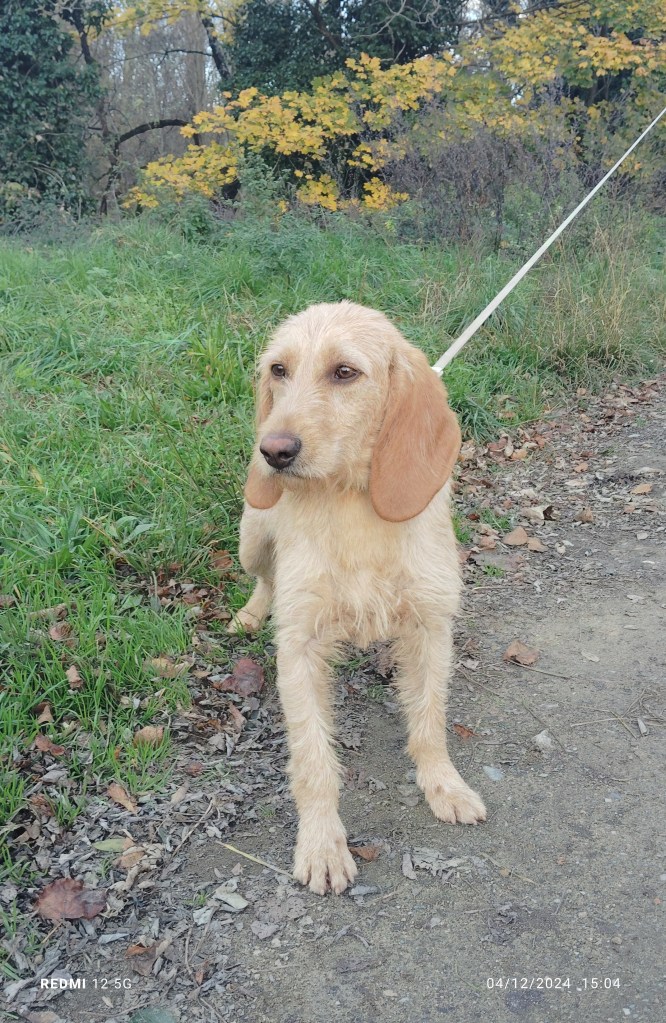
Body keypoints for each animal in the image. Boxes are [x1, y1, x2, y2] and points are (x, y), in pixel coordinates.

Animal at [230, 301, 486, 894]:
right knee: (265, 578)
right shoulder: (299, 646)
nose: (272, 451)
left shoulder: (432, 625)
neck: (351, 503)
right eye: (279, 369)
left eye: (344, 372)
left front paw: (444, 783)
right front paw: (322, 843)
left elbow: (430, 721)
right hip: (252, 536)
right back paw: (251, 614)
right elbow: (312, 759)